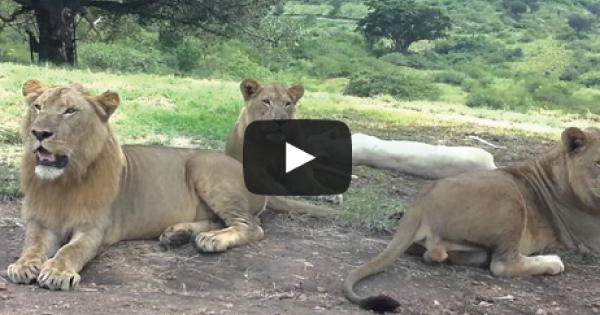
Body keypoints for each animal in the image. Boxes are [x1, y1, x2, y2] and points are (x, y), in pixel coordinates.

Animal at [7, 81, 338, 292]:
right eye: (37, 107)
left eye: (70, 111)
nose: (39, 133)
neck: (63, 181)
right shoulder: (39, 222)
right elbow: (31, 246)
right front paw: (23, 266)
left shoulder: (93, 230)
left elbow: (70, 251)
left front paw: (57, 272)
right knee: (222, 220)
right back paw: (179, 234)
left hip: (203, 167)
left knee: (251, 226)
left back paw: (211, 240)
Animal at [344, 127, 600, 314]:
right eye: (598, 162)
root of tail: (420, 204)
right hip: (510, 196)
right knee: (503, 264)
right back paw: (553, 262)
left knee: (436, 254)